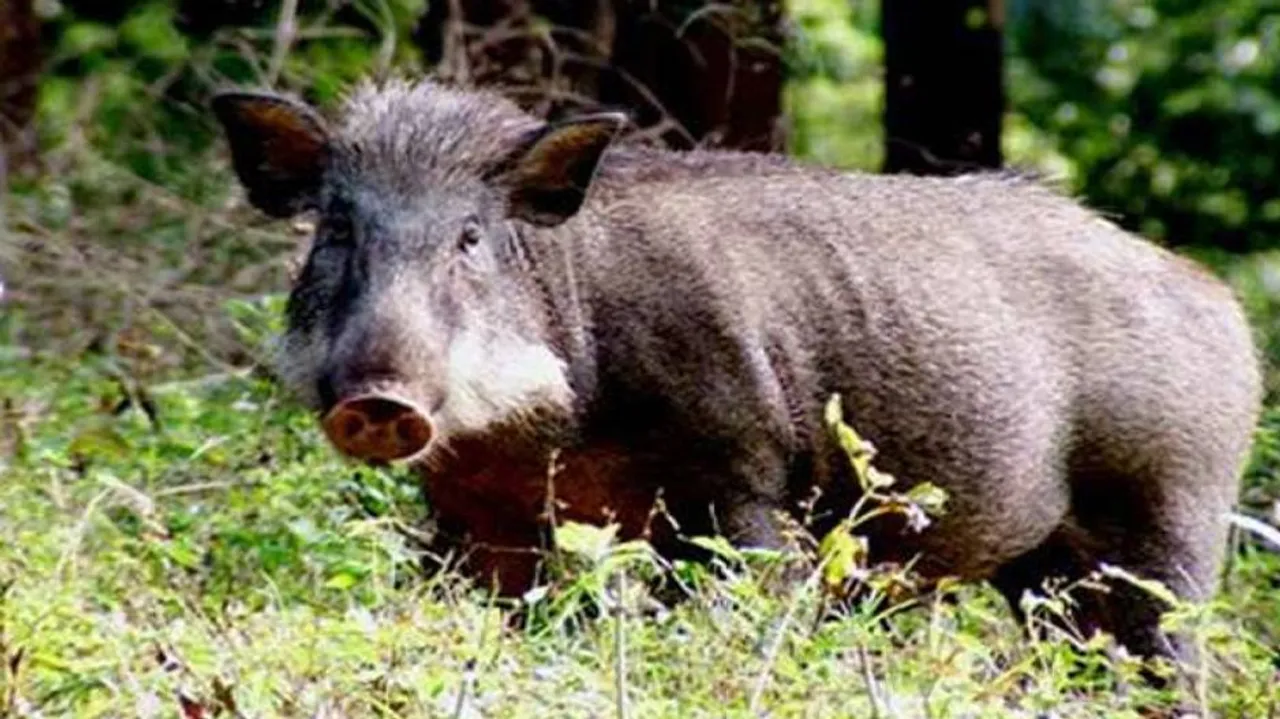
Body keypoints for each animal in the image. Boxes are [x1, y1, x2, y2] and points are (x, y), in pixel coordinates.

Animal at [210, 77, 1261, 666]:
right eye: (336, 228)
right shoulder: (479, 517)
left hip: (1170, 522)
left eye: (470, 235)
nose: (379, 399)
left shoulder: (745, 484)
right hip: (1045, 568)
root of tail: (1225, 307)